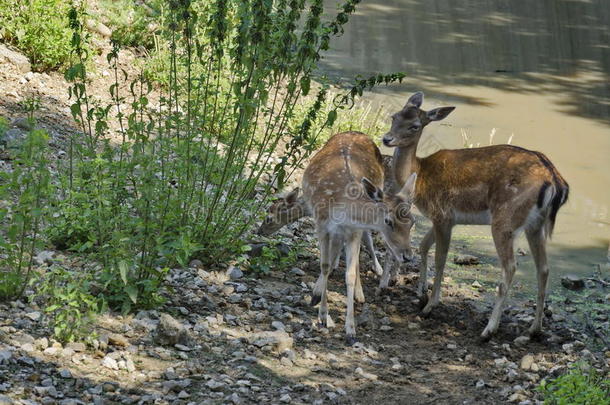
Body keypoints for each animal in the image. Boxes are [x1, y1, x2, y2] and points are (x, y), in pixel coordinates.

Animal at [302, 131, 414, 342]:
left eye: (412, 222)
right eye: (388, 221)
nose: (408, 256)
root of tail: (354, 132)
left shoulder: (353, 230)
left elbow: (350, 274)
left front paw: (351, 329)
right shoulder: (321, 225)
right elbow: (324, 266)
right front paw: (323, 315)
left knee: (360, 245)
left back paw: (359, 293)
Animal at [382, 92, 568, 340]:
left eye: (414, 126)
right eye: (394, 116)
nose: (387, 139)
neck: (420, 176)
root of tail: (555, 181)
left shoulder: (442, 214)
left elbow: (440, 258)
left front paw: (430, 305)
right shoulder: (443, 218)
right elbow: (423, 246)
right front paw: (421, 295)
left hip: (504, 219)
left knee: (510, 267)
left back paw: (488, 330)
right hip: (535, 225)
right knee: (544, 268)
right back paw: (534, 329)